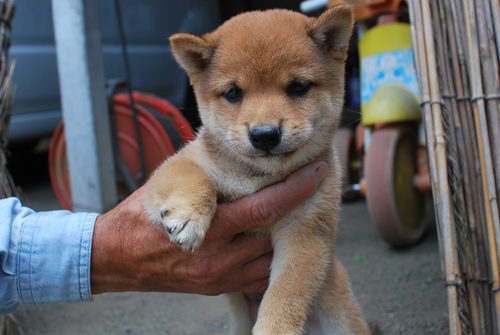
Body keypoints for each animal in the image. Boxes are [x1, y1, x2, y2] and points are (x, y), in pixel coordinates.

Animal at [145, 5, 372, 335]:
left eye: (298, 87)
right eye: (233, 93)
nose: (264, 135)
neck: (257, 179)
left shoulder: (306, 227)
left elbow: (287, 290)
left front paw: (275, 328)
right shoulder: (178, 165)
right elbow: (195, 178)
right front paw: (189, 216)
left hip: (342, 317)